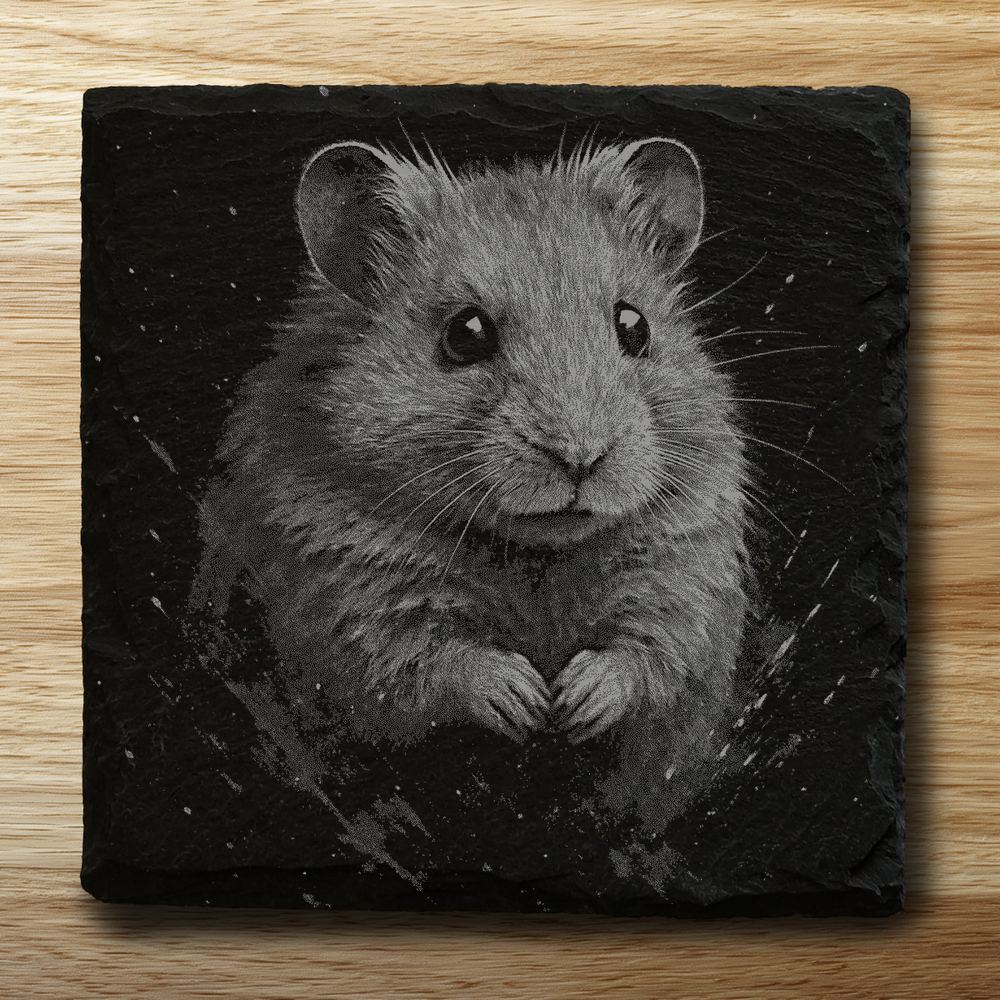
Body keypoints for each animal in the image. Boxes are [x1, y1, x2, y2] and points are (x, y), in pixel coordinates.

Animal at [194, 135, 750, 758]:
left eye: (634, 326)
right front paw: (528, 701)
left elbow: (656, 653)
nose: (581, 457)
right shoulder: (340, 598)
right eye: (466, 333)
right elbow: (420, 662)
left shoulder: (689, 580)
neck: (533, 560)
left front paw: (573, 700)